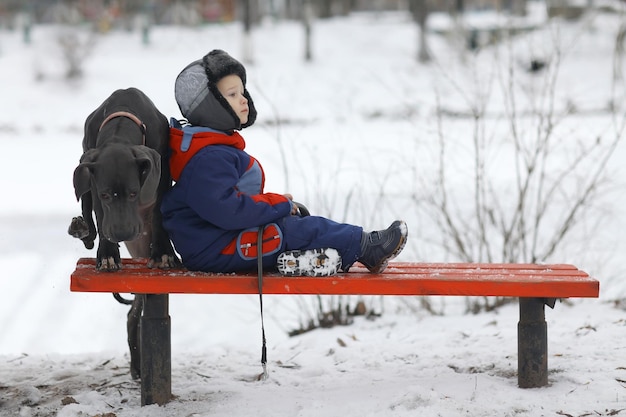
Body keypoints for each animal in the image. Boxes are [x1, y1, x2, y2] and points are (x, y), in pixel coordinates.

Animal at [69, 88, 179, 380]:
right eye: (107, 195)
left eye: (133, 193)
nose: (123, 233)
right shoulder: (91, 176)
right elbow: (98, 211)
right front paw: (107, 254)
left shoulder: (161, 172)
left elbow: (161, 211)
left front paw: (163, 252)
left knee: (134, 314)